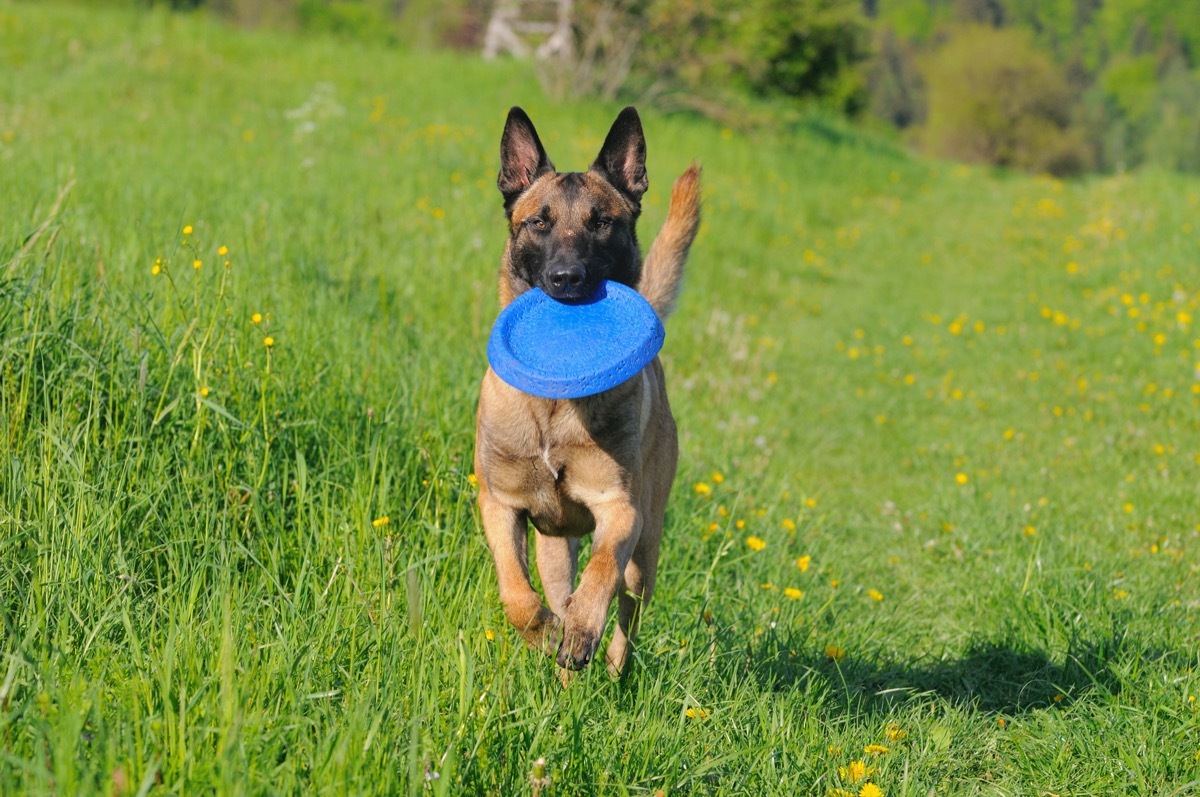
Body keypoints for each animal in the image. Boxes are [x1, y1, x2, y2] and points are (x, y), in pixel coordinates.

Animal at [470, 105, 700, 672]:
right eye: (539, 221)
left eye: (601, 223)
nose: (567, 278)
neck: (554, 401)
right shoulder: (500, 504)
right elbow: (516, 594)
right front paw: (546, 633)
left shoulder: (621, 509)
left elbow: (601, 573)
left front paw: (579, 632)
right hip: (555, 548)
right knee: (558, 588)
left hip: (647, 551)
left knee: (627, 610)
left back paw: (611, 664)